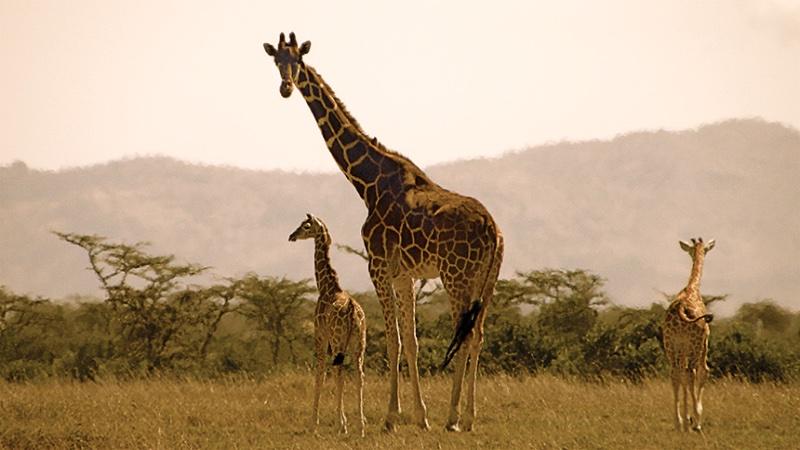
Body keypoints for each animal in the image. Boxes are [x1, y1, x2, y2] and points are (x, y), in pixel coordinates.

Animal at [289, 213, 367, 436]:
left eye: (306, 226)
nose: (292, 236)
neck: (326, 286)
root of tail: (352, 310)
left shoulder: (321, 336)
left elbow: (321, 375)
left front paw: (314, 423)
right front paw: (344, 422)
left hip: (339, 341)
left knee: (339, 373)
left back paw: (346, 425)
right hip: (359, 344)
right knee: (358, 375)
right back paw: (361, 426)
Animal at [662, 237, 716, 432]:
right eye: (706, 249)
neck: (692, 288)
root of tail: (681, 309)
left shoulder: (680, 347)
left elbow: (682, 377)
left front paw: (686, 418)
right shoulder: (704, 341)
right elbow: (704, 371)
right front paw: (695, 417)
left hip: (670, 345)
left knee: (675, 373)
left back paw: (678, 422)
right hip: (695, 344)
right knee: (693, 372)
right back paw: (695, 423)